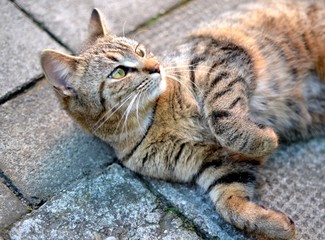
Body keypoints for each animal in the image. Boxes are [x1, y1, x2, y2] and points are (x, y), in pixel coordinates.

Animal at [39, 1, 324, 238]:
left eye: (140, 51)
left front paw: (263, 139)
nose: (156, 66)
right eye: (119, 72)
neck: (154, 118)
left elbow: (223, 119)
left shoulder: (217, 61)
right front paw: (274, 225)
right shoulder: (216, 161)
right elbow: (229, 204)